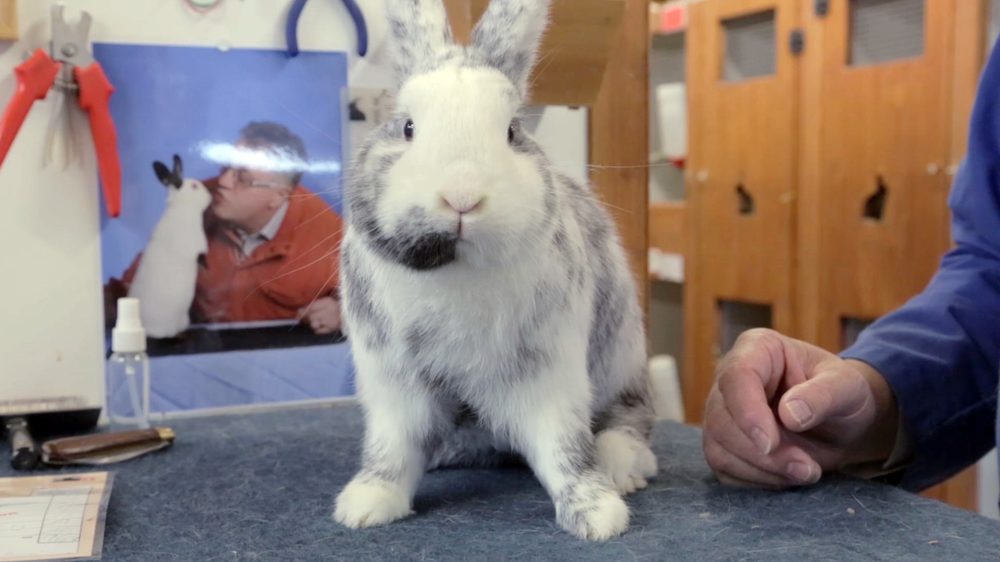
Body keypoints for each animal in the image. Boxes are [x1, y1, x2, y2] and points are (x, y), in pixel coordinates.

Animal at [127, 154, 211, 338]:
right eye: (194, 186)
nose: (210, 196)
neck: (183, 208)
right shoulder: (195, 246)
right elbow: (199, 255)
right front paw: (205, 265)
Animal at [333, 0, 657, 541]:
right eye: (407, 127)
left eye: (511, 131)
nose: (462, 196)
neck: (457, 272)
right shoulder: (395, 388)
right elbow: (392, 448)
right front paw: (365, 505)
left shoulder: (549, 377)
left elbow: (563, 449)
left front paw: (596, 516)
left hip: (622, 355)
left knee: (629, 418)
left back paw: (621, 467)